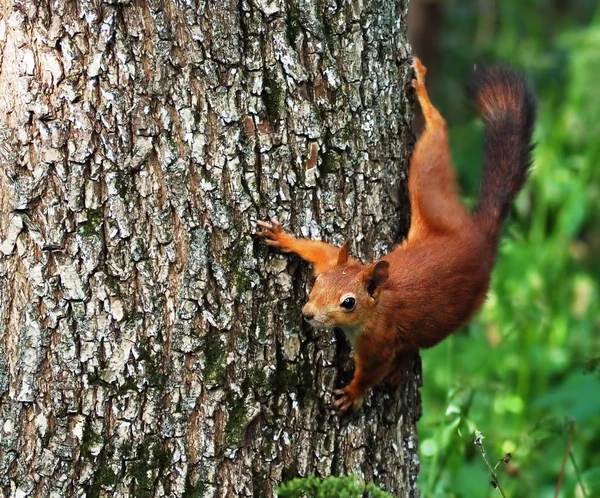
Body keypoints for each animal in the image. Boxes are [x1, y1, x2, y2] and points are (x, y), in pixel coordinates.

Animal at [255, 58, 536, 416]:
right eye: (318, 282)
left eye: (349, 303)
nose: (307, 314)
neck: (377, 305)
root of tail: (479, 236)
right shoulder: (337, 260)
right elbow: (319, 249)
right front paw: (282, 237)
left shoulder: (378, 342)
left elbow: (371, 371)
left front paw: (353, 393)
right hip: (436, 204)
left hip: (451, 291)